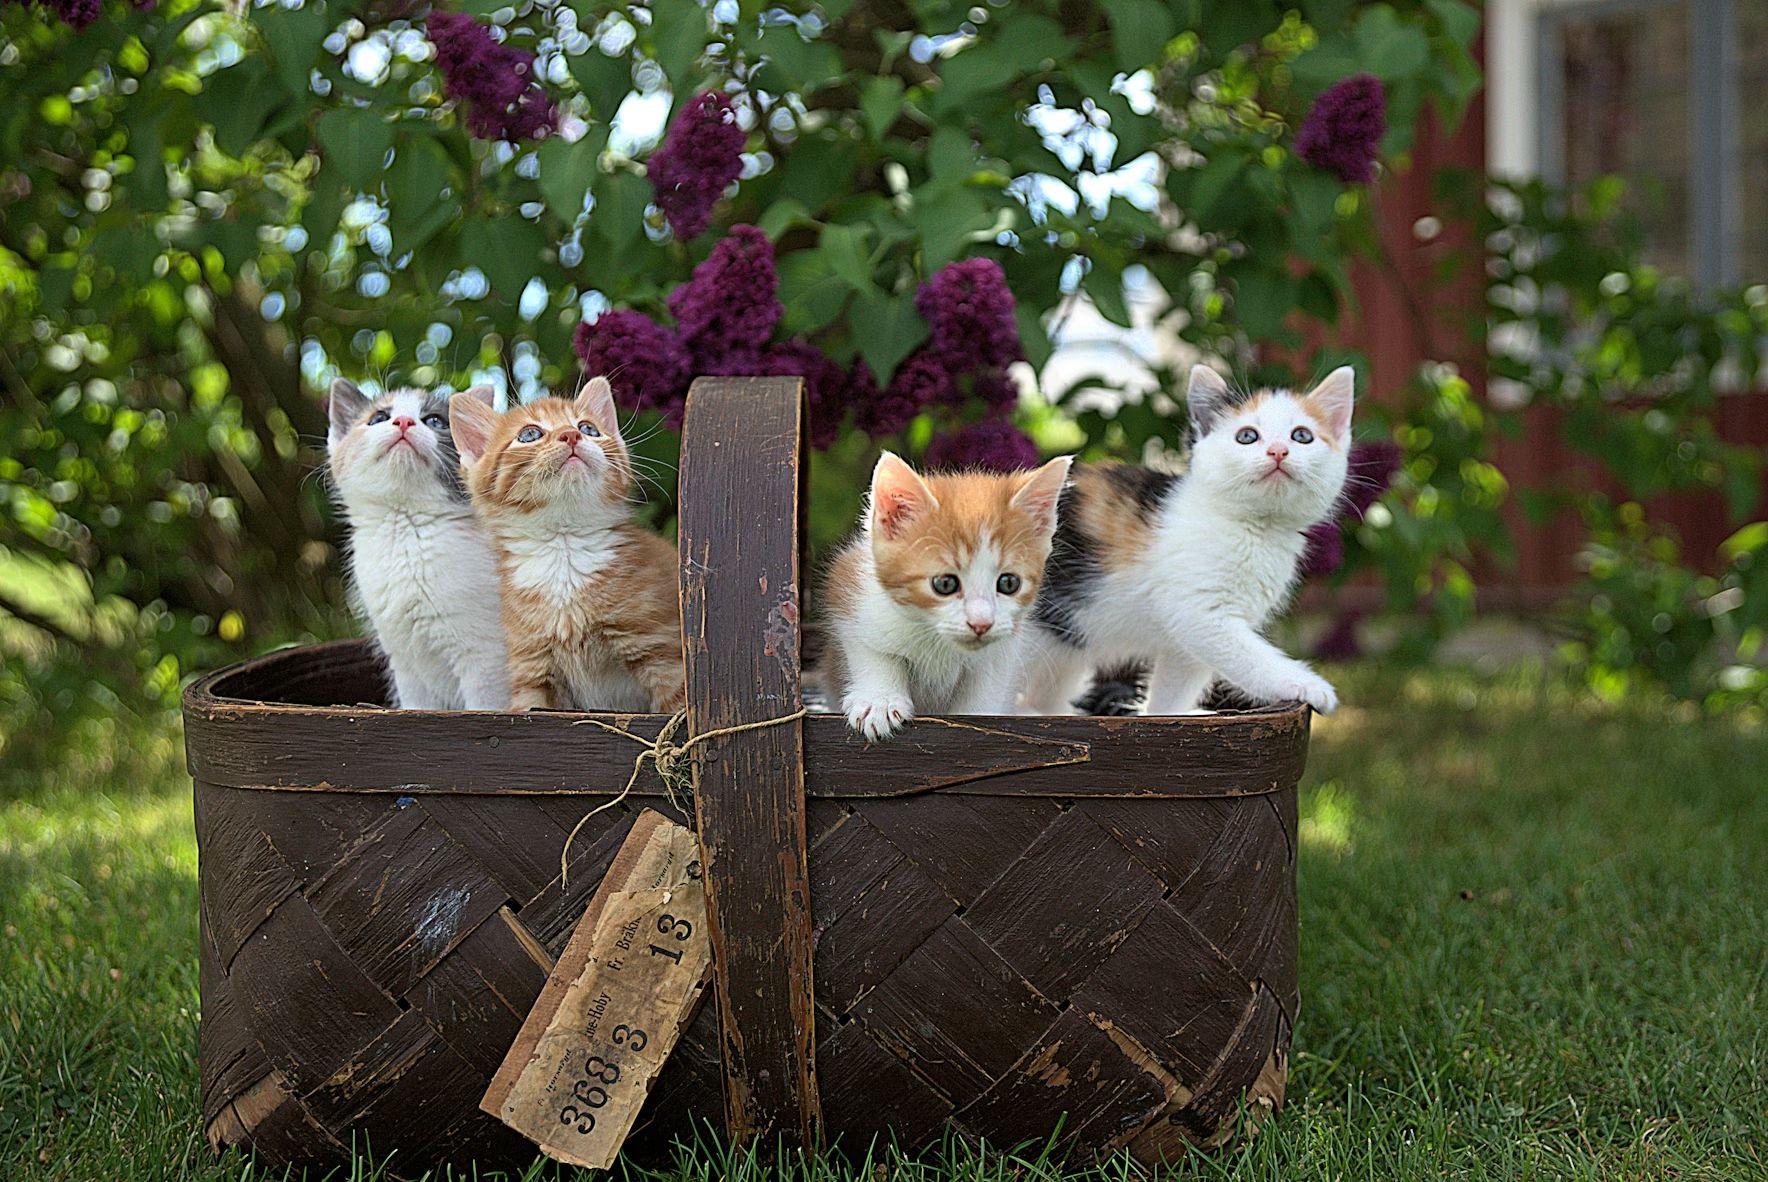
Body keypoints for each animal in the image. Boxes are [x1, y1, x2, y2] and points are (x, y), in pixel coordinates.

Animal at [327, 379, 512, 710]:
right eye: (378, 418)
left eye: (435, 421)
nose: (403, 421)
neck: (407, 529)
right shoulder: (406, 665)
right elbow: (417, 708)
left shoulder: (486, 658)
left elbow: (486, 707)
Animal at [449, 378, 682, 710]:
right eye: (530, 434)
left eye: (589, 428)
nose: (571, 435)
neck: (564, 547)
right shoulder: (531, 669)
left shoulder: (662, 653)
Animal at [820, 452, 1067, 738]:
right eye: (945, 584)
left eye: (1008, 583)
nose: (981, 624)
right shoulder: (851, 590)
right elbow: (871, 649)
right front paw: (880, 700)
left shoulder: (1004, 647)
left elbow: (987, 686)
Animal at [1025, 363, 1350, 713]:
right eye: (1247, 436)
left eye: (1302, 436)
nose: (1278, 451)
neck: (1255, 528)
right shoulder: (1199, 612)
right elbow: (1251, 657)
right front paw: (1306, 684)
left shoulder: (1186, 642)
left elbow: (1174, 688)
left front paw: (1165, 715)